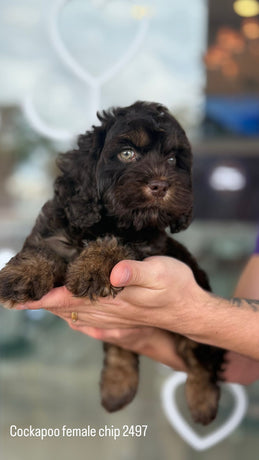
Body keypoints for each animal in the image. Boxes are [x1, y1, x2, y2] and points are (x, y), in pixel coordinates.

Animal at [0, 100, 225, 424]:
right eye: (126, 153)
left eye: (172, 159)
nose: (160, 185)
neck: (109, 221)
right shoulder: (55, 231)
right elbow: (41, 252)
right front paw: (21, 276)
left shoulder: (146, 246)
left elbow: (116, 245)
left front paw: (92, 268)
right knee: (121, 349)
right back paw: (116, 387)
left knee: (202, 356)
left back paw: (202, 402)